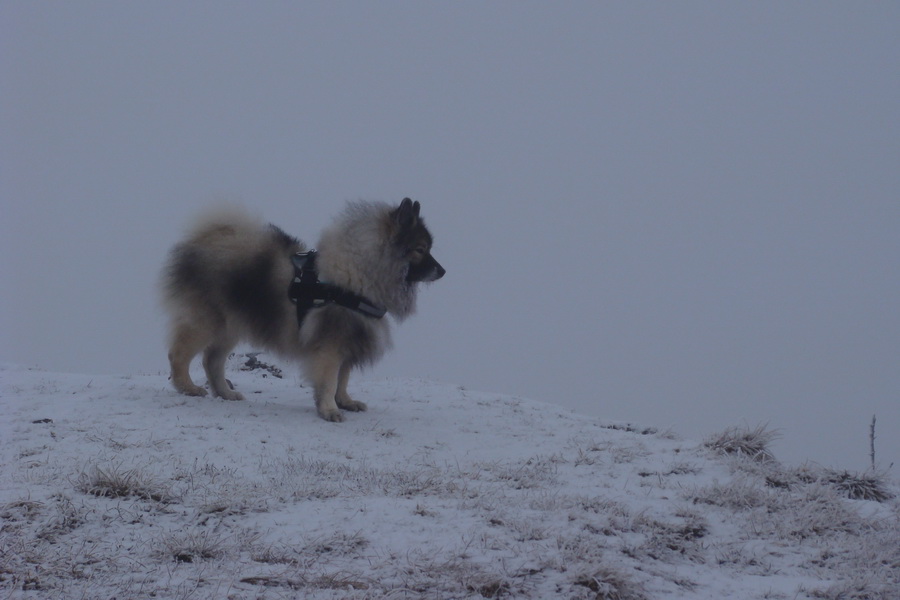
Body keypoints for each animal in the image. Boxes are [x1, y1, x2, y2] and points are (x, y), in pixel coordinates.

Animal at [163, 198, 444, 422]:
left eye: (428, 248)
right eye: (420, 249)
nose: (442, 271)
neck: (358, 278)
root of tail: (203, 240)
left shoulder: (347, 342)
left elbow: (343, 379)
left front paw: (346, 401)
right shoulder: (330, 346)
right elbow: (329, 381)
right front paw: (329, 410)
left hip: (231, 326)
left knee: (212, 360)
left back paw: (224, 393)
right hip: (206, 322)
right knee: (179, 355)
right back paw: (187, 387)